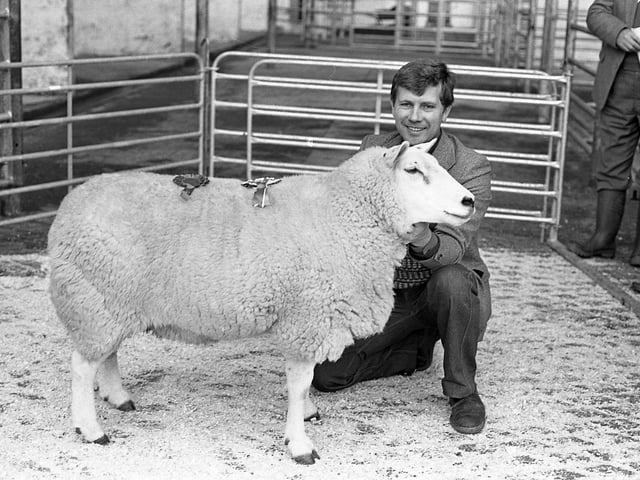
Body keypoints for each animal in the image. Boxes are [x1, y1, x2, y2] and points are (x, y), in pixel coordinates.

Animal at [47, 141, 475, 465]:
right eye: (413, 171)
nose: (469, 200)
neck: (345, 215)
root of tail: (70, 204)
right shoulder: (307, 315)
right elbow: (300, 383)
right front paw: (300, 445)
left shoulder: (308, 317)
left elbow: (304, 384)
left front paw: (306, 416)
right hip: (95, 296)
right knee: (82, 365)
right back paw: (92, 429)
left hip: (108, 300)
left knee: (107, 353)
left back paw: (118, 397)